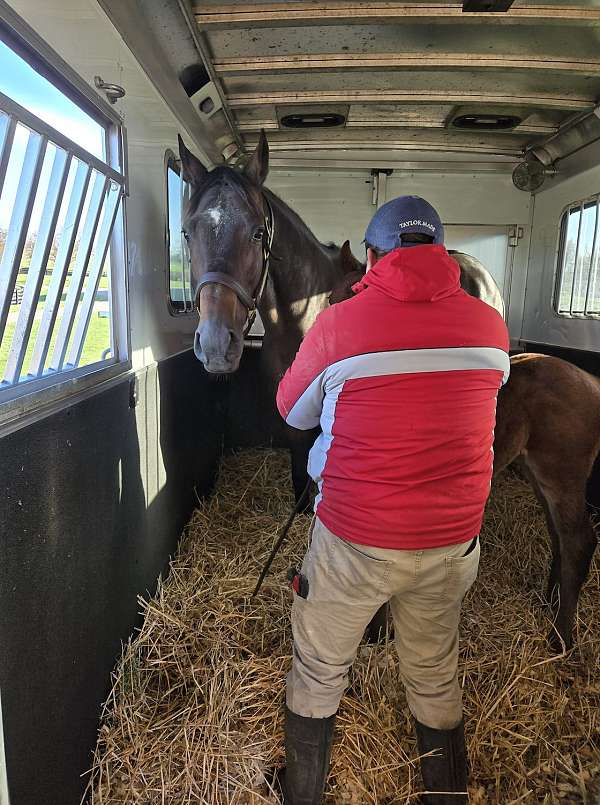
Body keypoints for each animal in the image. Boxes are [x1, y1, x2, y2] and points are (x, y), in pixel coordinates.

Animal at [329, 272, 599, 651]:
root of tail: (590, 382)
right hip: (537, 472)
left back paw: (560, 637)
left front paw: (379, 634)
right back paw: (551, 602)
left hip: (560, 472)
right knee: (559, 535)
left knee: (578, 540)